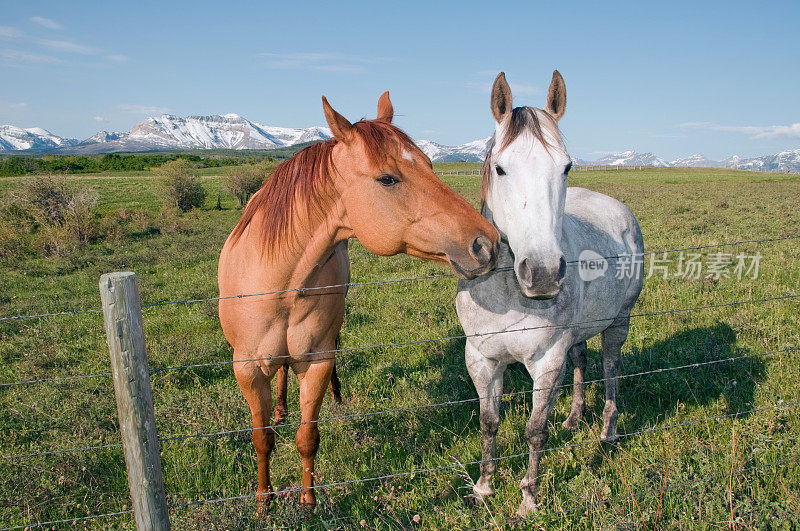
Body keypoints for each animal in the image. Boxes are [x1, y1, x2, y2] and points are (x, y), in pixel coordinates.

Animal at [216, 92, 496, 512]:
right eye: (388, 178)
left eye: (430, 165)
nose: (488, 243)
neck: (279, 285)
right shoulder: (247, 370)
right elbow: (262, 438)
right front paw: (264, 499)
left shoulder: (315, 361)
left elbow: (307, 437)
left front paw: (308, 500)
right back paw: (280, 410)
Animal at [456, 70, 644, 516]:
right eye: (500, 168)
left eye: (566, 167)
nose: (542, 273)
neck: (507, 293)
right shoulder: (482, 358)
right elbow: (489, 422)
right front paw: (483, 487)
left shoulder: (545, 360)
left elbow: (535, 429)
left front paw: (528, 498)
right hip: (576, 336)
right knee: (581, 360)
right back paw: (574, 420)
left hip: (619, 322)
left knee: (610, 368)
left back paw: (608, 433)